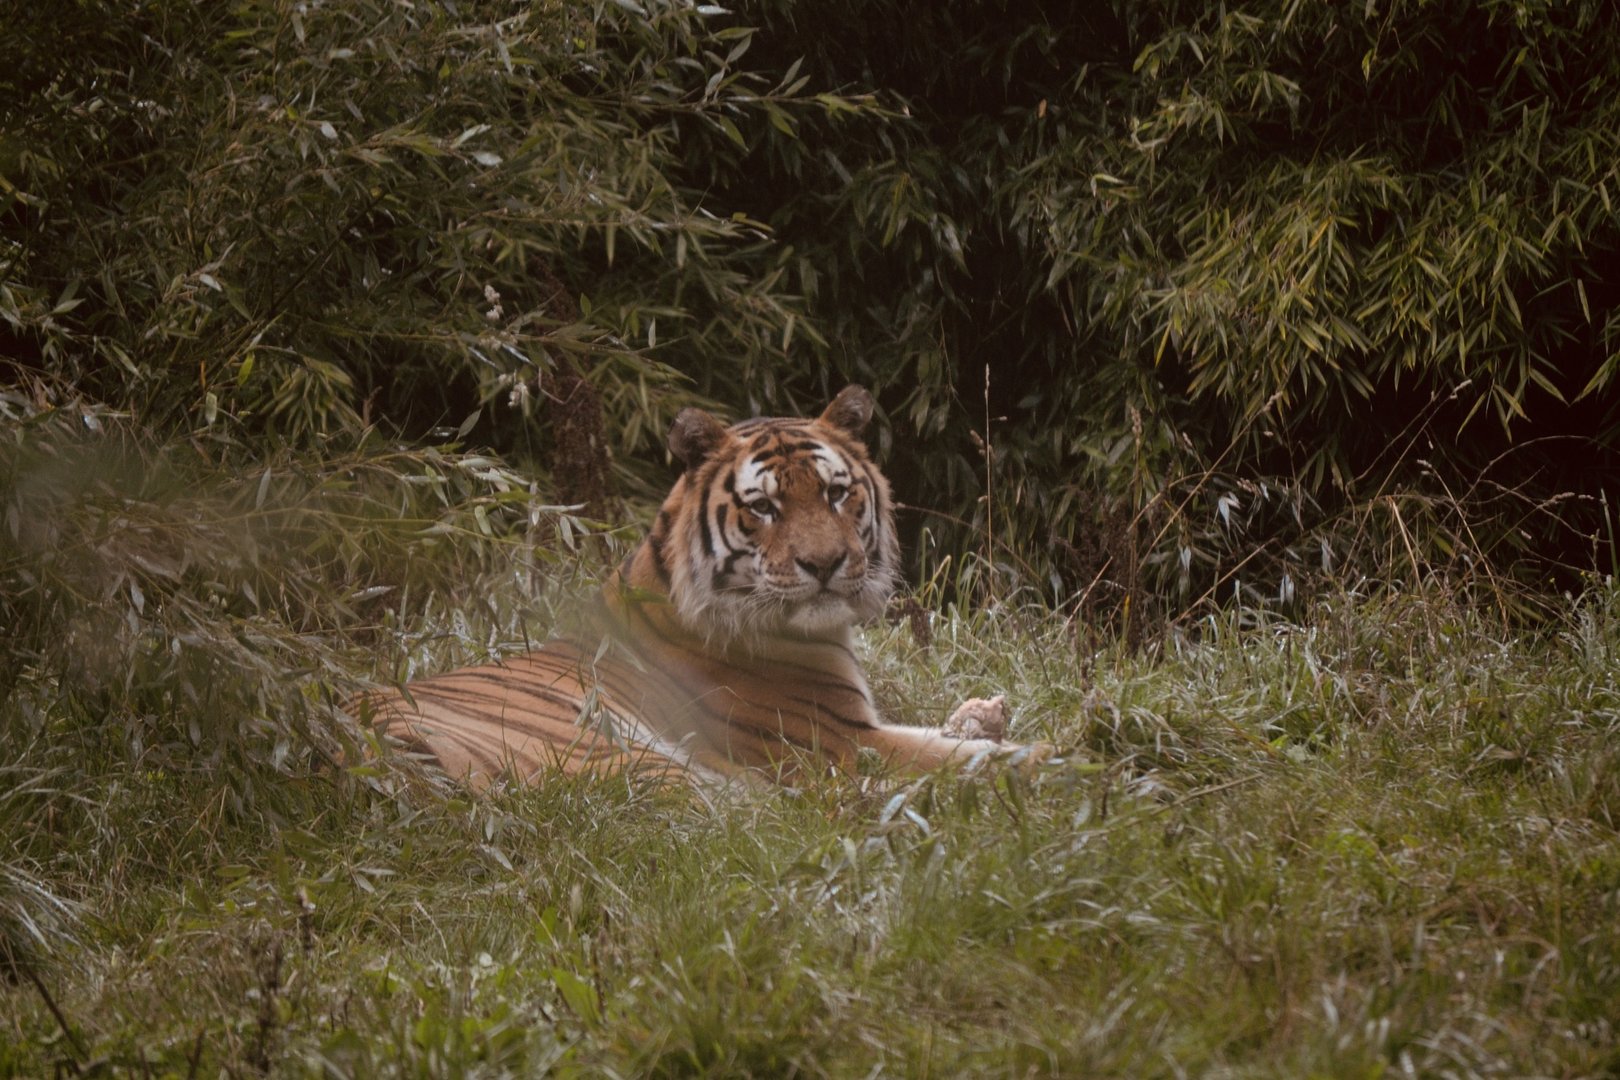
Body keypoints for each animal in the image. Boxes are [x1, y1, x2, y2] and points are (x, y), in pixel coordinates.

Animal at [362, 385, 1022, 788]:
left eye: (836, 493)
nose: (826, 563)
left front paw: (985, 714)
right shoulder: (843, 742)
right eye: (764, 507)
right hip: (631, 758)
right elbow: (986, 759)